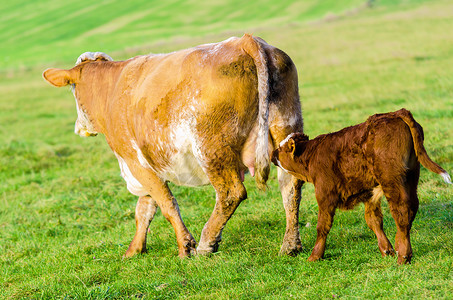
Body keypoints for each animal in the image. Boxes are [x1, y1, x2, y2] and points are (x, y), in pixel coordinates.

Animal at [42, 33, 304, 258]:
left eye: (73, 89)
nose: (79, 127)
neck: (111, 90)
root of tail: (244, 42)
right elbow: (144, 209)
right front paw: (134, 250)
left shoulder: (135, 161)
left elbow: (166, 205)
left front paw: (185, 247)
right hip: (286, 127)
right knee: (291, 185)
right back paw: (290, 245)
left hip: (211, 148)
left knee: (231, 192)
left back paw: (206, 243)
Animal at [270, 109, 450, 264]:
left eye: (282, 148)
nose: (272, 154)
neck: (312, 155)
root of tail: (396, 113)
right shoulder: (369, 193)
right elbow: (373, 220)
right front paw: (387, 250)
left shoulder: (325, 195)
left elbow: (322, 226)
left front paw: (315, 256)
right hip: (411, 178)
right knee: (411, 209)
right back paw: (400, 247)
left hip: (392, 180)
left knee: (402, 212)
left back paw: (403, 256)